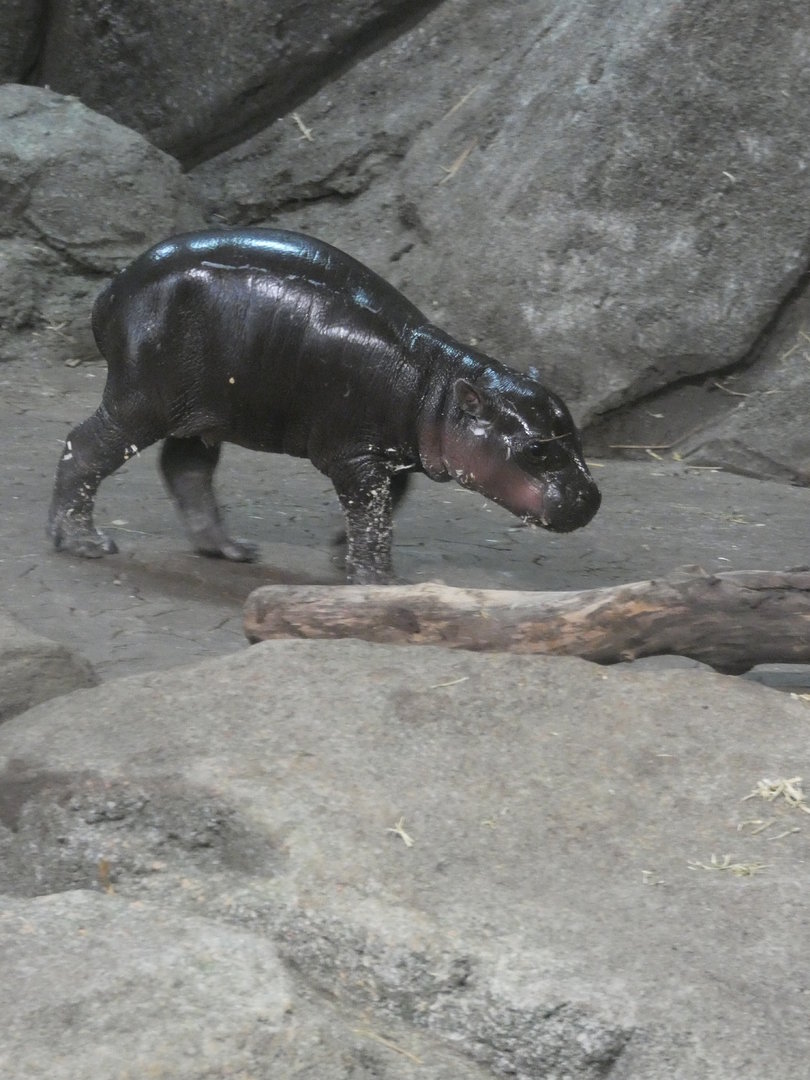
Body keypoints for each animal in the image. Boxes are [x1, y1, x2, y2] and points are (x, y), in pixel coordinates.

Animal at [48, 229, 601, 583]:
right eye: (535, 449)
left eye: (575, 434)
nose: (593, 497)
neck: (438, 384)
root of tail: (111, 291)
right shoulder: (355, 456)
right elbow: (373, 513)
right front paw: (378, 581)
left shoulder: (385, 456)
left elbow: (383, 507)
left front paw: (342, 556)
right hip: (142, 402)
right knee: (84, 447)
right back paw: (85, 543)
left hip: (204, 413)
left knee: (186, 468)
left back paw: (232, 551)